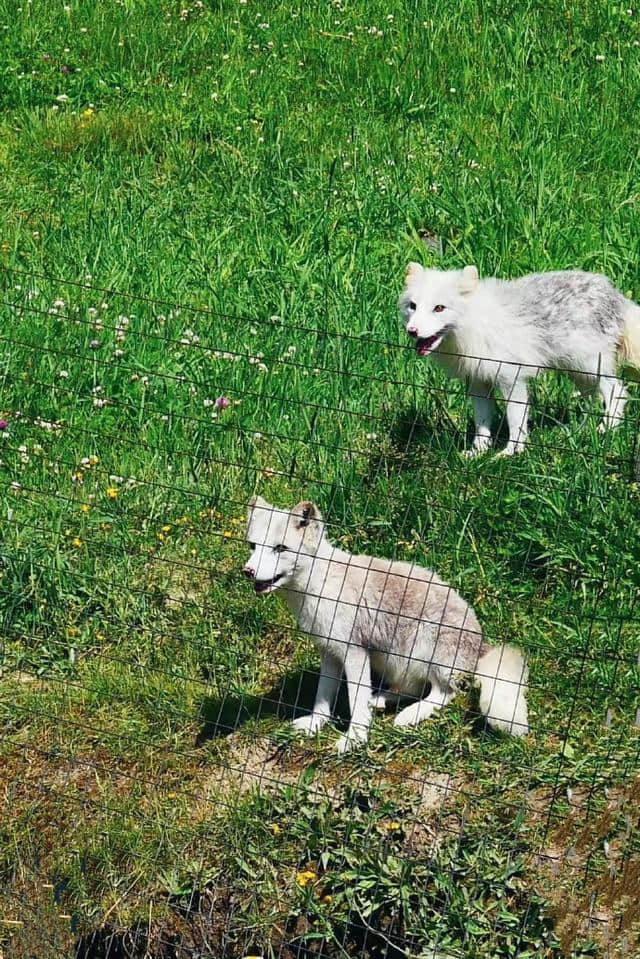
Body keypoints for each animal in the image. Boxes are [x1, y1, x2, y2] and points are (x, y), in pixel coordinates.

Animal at [242, 498, 528, 752]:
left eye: (280, 548)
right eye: (253, 546)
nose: (248, 571)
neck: (319, 586)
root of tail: (482, 644)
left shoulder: (354, 651)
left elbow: (355, 699)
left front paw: (355, 738)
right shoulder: (329, 652)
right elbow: (323, 695)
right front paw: (316, 724)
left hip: (424, 651)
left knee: (443, 693)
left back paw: (409, 715)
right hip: (394, 662)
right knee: (412, 689)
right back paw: (380, 700)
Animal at [400, 262, 640, 458]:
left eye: (439, 308)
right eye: (413, 306)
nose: (412, 331)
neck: (477, 325)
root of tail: (614, 293)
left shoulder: (512, 380)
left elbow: (515, 420)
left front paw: (511, 452)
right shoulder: (479, 382)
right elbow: (482, 423)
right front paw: (478, 452)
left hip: (589, 365)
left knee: (616, 392)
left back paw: (606, 428)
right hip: (577, 371)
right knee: (593, 400)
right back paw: (580, 431)